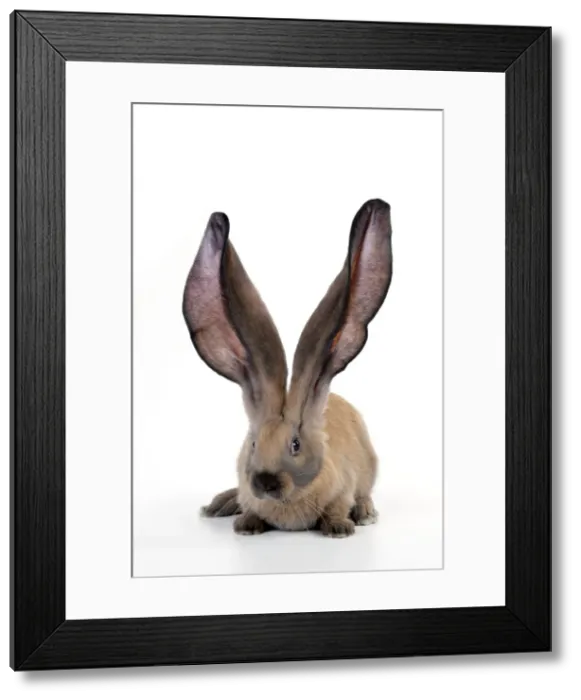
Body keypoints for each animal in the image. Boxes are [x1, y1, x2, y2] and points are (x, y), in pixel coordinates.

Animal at [182, 198, 393, 538]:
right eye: (253, 443)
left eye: (295, 445)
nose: (265, 483)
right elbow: (251, 508)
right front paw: (246, 524)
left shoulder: (344, 488)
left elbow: (338, 507)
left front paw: (339, 528)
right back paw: (220, 504)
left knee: (364, 494)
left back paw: (365, 513)